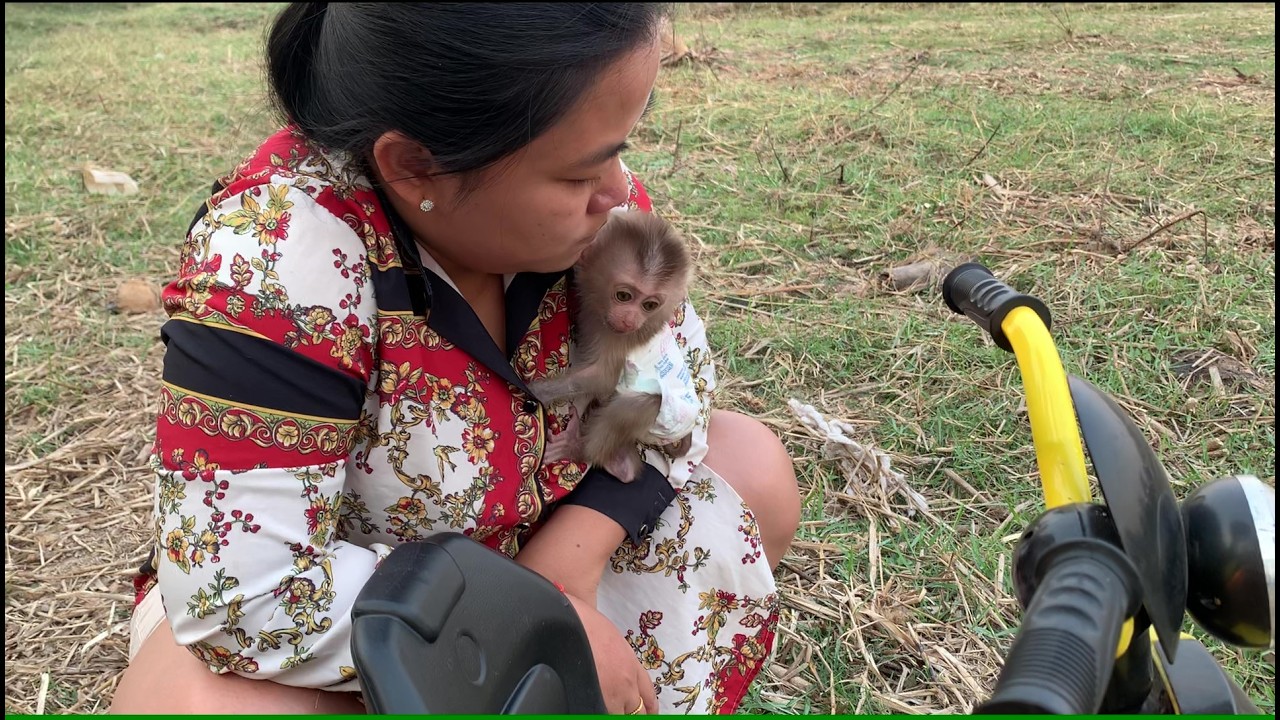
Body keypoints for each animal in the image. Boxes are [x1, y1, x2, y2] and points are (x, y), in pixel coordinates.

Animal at [529, 210, 699, 483]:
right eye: (623, 296)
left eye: (649, 305)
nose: (629, 320)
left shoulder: (623, 338)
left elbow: (603, 378)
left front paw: (534, 391)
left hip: (664, 420)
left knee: (639, 405)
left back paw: (577, 448)